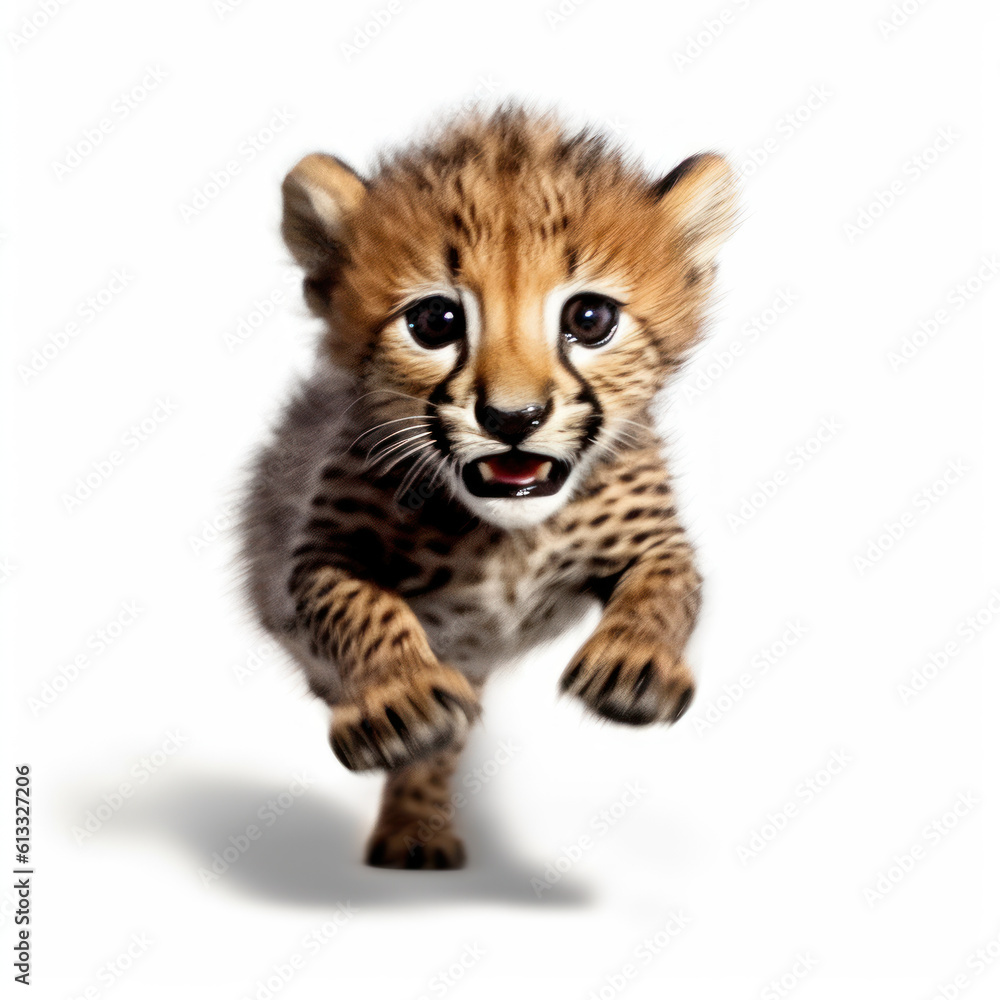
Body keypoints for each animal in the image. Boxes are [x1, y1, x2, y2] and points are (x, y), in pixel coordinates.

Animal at [238, 105, 738, 869]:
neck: (509, 533)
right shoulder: (323, 550)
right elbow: (360, 609)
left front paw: (634, 664)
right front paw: (397, 700)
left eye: (589, 319)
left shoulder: (654, 538)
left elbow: (668, 588)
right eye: (435, 322)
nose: (513, 418)